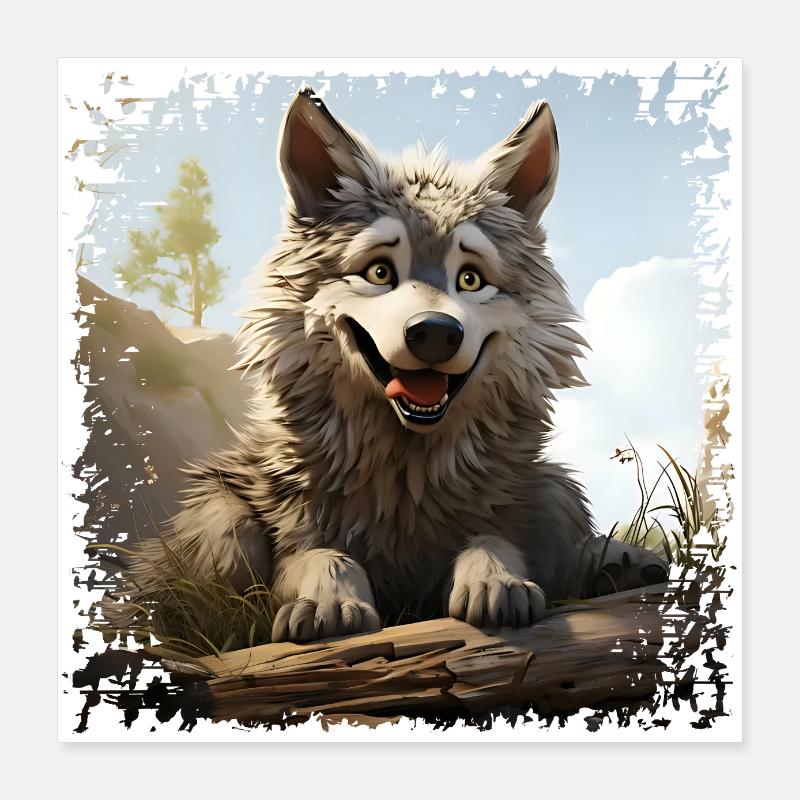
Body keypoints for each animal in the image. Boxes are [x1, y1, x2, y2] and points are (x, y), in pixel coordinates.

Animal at [129, 87, 667, 643]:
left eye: (471, 279)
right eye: (379, 273)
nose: (435, 332)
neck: (407, 474)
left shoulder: (511, 515)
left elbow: (493, 541)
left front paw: (496, 582)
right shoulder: (293, 528)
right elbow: (323, 557)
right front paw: (329, 604)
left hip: (555, 490)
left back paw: (619, 562)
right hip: (218, 521)